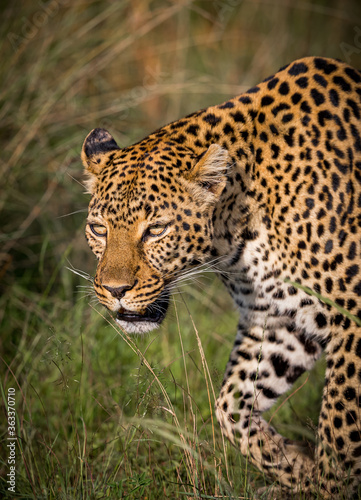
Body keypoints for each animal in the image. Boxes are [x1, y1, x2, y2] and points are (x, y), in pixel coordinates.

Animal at [81, 57, 360, 496]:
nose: (115, 290)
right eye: (98, 229)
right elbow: (230, 405)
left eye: (156, 230)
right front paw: (299, 468)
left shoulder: (352, 323)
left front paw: (330, 484)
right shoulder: (275, 317)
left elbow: (340, 427)